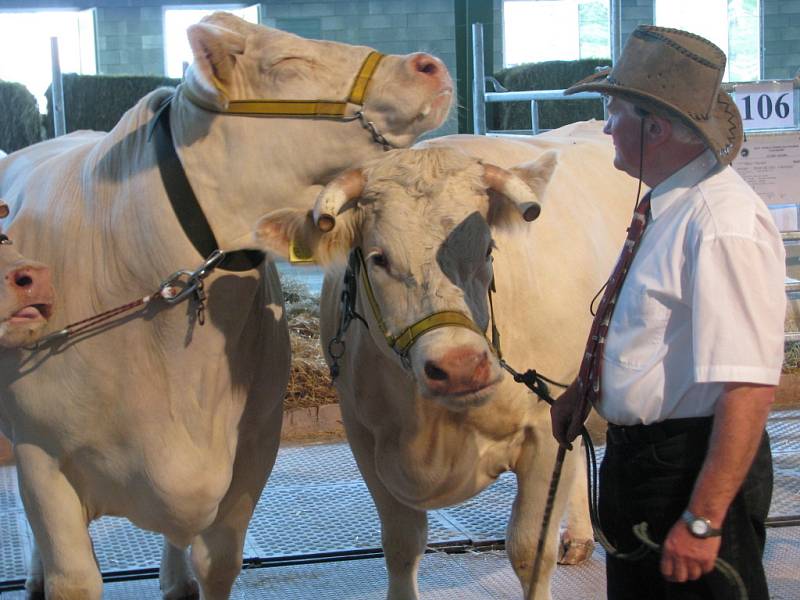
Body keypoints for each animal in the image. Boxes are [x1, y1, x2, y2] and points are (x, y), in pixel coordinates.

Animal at [0, 10, 454, 600]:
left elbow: (219, 562)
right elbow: (72, 576)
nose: (428, 64)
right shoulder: (41, 454)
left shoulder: (255, 444)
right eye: (287, 62)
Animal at [255, 119, 636, 596]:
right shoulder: (364, 436)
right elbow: (401, 545)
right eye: (378, 258)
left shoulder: (545, 429)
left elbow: (530, 549)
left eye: (489, 249)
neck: (433, 427)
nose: (459, 367)